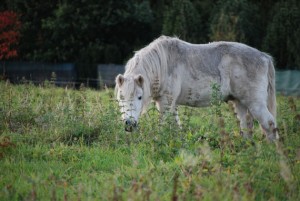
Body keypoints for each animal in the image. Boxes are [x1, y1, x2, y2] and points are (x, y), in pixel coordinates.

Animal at [115, 35, 278, 141]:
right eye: (121, 97)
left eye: (139, 97)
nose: (129, 124)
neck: (163, 64)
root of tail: (264, 57)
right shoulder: (171, 103)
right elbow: (175, 125)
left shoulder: (166, 102)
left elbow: (163, 124)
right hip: (240, 103)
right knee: (246, 127)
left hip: (255, 103)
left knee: (269, 125)